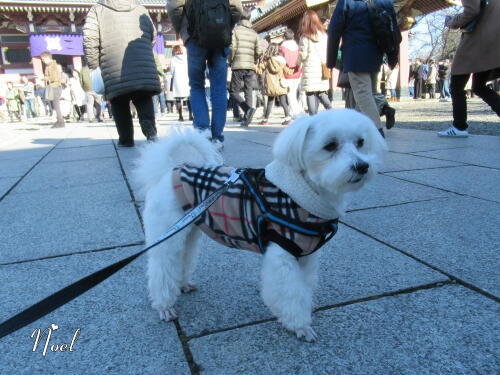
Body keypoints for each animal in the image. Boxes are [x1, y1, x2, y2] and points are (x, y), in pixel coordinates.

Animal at [136, 109, 386, 344]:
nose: (362, 166)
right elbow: (291, 293)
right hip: (166, 232)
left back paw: (183, 284)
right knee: (162, 267)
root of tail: (170, 170)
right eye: (330, 146)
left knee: (183, 258)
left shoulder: (306, 255)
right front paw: (300, 325)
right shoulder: (282, 254)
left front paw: (307, 307)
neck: (303, 195)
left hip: (189, 230)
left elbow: (304, 286)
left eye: (361, 142)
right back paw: (164, 306)